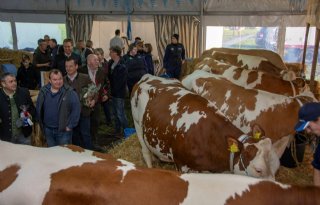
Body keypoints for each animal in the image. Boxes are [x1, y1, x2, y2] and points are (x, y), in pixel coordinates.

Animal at [130, 74, 288, 179]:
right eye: (258, 170)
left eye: (277, 168)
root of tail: (147, 76)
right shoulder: (182, 165)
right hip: (137, 124)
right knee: (145, 151)